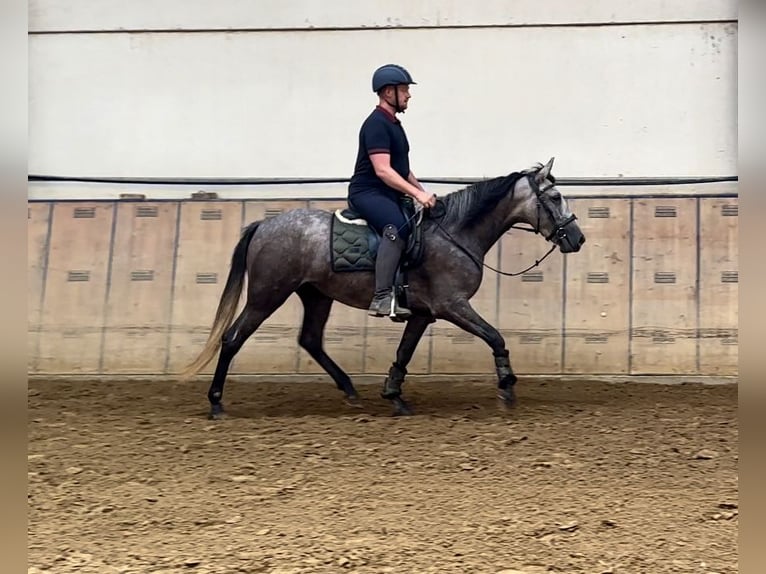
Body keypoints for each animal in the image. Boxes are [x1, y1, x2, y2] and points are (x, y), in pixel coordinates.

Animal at [182, 158, 588, 418]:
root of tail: (263, 226)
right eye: (554, 198)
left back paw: (350, 391)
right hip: (267, 295)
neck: (456, 232)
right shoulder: (452, 305)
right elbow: (495, 336)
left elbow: (404, 352)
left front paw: (394, 395)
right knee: (233, 338)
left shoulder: (424, 313)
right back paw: (216, 402)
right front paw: (507, 386)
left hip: (316, 295)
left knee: (310, 339)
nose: (578, 238)